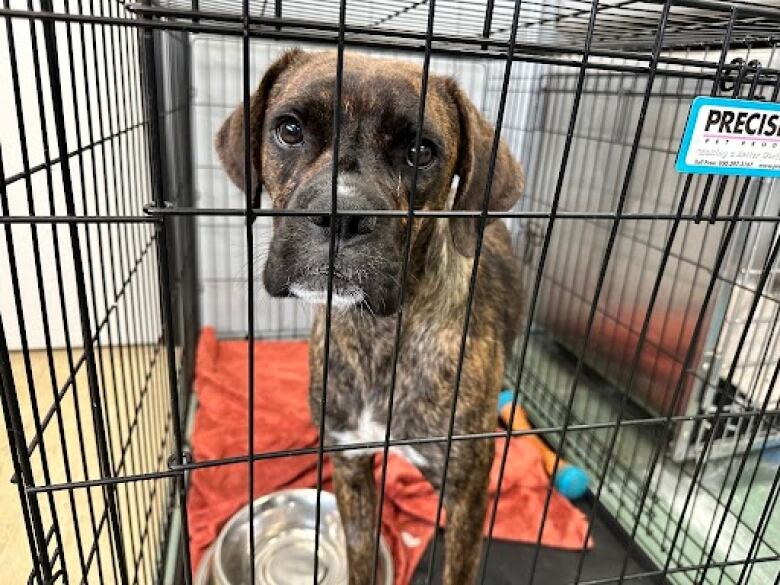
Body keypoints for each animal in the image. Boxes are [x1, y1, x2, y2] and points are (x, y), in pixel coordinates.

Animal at [216, 51, 528, 584]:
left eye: (421, 151)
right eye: (290, 130)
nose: (340, 215)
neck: (377, 334)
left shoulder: (466, 495)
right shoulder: (350, 467)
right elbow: (360, 557)